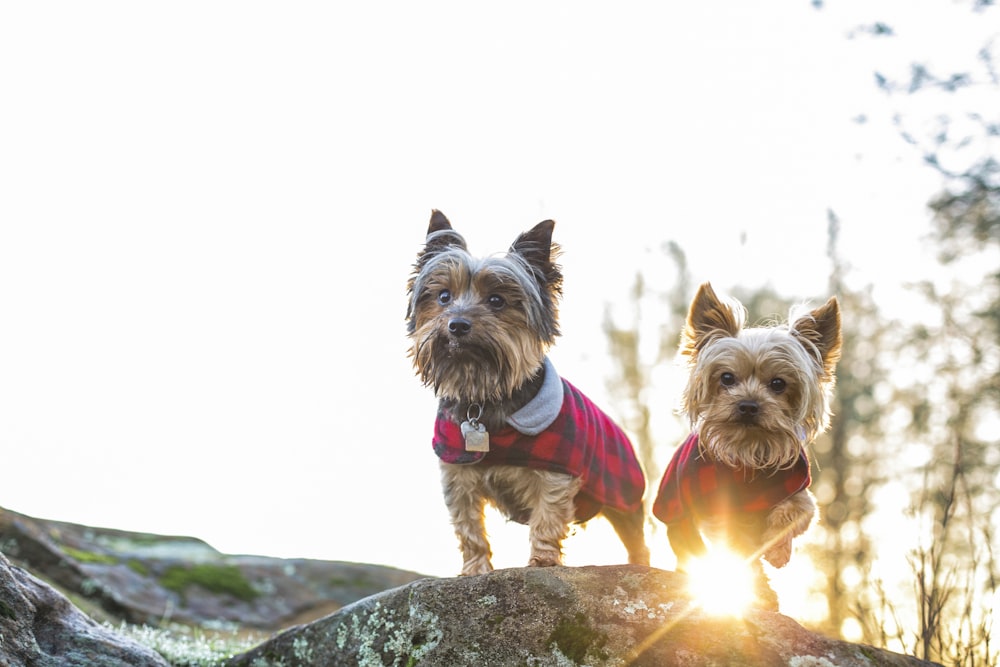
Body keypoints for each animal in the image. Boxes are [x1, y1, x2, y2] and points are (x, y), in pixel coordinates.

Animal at [402, 211, 652, 576]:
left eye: (497, 300)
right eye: (444, 296)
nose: (457, 324)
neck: (485, 396)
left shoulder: (556, 474)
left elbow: (547, 517)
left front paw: (543, 561)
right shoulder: (456, 475)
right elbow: (468, 527)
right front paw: (475, 569)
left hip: (623, 495)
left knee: (635, 536)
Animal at [652, 282, 840, 612]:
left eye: (778, 384)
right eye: (726, 378)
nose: (748, 405)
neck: (750, 452)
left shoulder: (799, 491)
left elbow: (795, 513)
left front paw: (777, 552)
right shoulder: (718, 514)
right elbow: (740, 551)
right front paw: (761, 591)